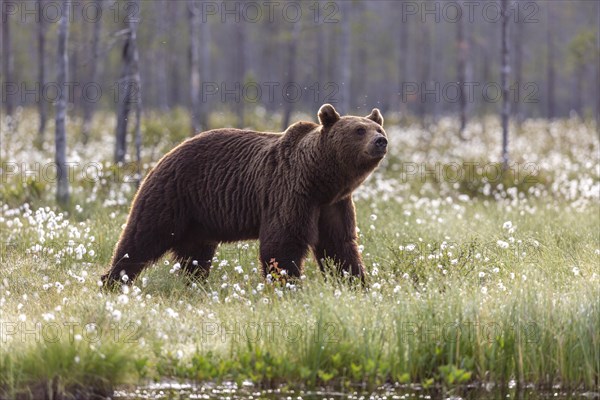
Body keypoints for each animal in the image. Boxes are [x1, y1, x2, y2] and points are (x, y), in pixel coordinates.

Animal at [101, 103, 386, 284]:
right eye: (359, 130)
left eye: (378, 129)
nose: (380, 141)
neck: (320, 179)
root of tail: (166, 153)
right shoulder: (289, 192)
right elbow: (282, 242)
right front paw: (287, 285)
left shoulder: (333, 204)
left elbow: (339, 244)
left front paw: (355, 282)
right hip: (173, 195)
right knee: (141, 238)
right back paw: (114, 280)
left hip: (199, 219)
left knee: (195, 255)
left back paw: (194, 283)